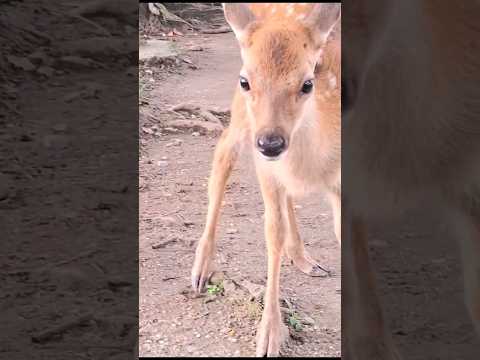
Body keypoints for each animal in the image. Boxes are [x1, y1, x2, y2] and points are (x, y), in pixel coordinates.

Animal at [190, 2, 342, 358]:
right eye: (246, 81)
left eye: (308, 83)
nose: (271, 143)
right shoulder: (265, 166)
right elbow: (272, 233)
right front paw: (269, 335)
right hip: (243, 118)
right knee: (223, 153)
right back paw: (201, 269)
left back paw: (303, 258)